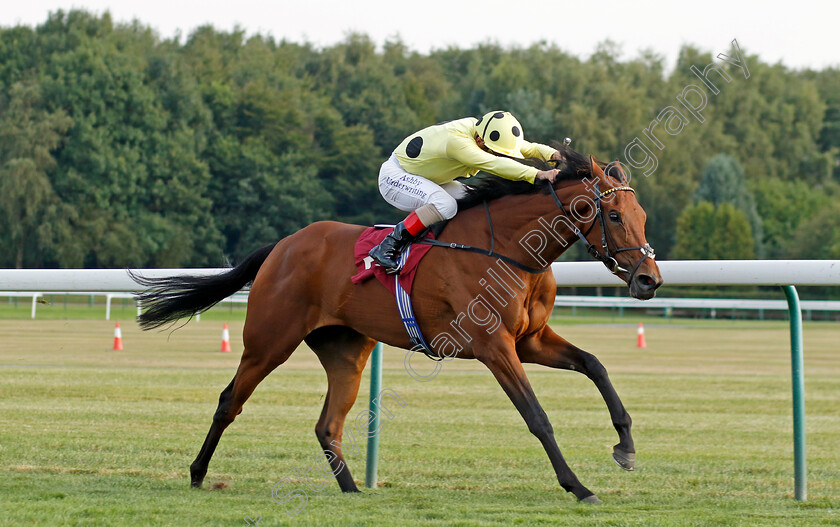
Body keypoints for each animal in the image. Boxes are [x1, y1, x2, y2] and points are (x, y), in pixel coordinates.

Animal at [131, 146, 664, 506]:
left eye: (641, 213)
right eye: (613, 214)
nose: (649, 279)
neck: (512, 249)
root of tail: (283, 245)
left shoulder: (530, 340)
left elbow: (594, 365)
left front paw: (625, 447)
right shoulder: (494, 346)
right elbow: (537, 416)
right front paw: (578, 486)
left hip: (347, 351)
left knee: (328, 424)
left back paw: (351, 490)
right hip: (268, 341)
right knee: (230, 401)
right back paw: (198, 473)